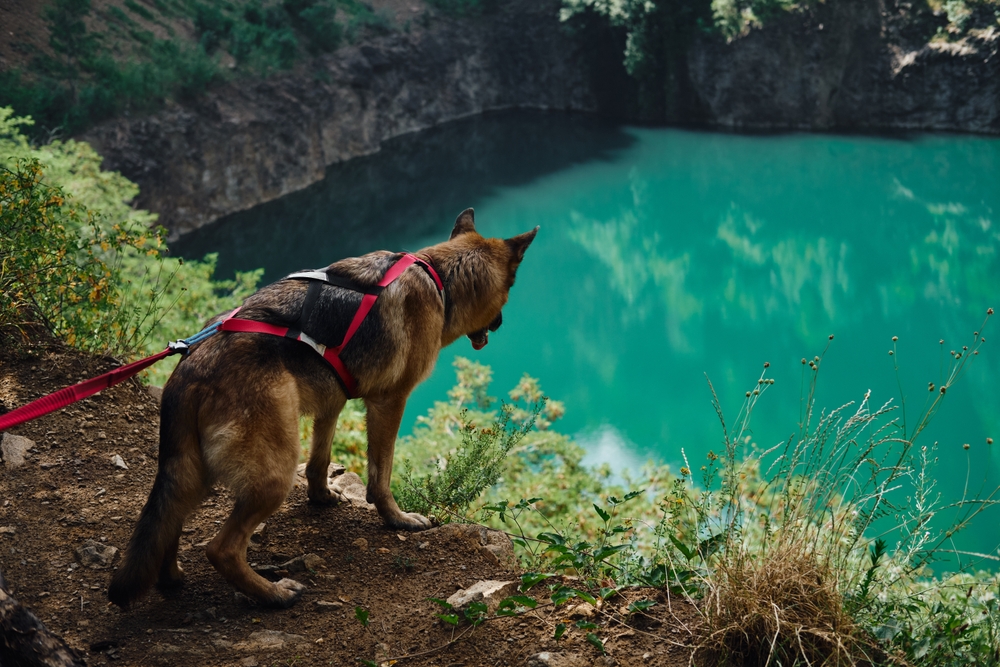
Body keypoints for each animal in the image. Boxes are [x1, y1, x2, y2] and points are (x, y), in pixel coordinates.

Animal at [107, 211, 540, 608]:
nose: (500, 323)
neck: (438, 278)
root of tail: (192, 368)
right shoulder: (389, 402)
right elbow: (381, 474)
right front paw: (396, 518)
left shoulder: (332, 399)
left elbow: (321, 457)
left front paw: (321, 496)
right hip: (273, 472)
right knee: (221, 548)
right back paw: (273, 594)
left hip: (195, 469)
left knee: (171, 519)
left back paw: (171, 575)